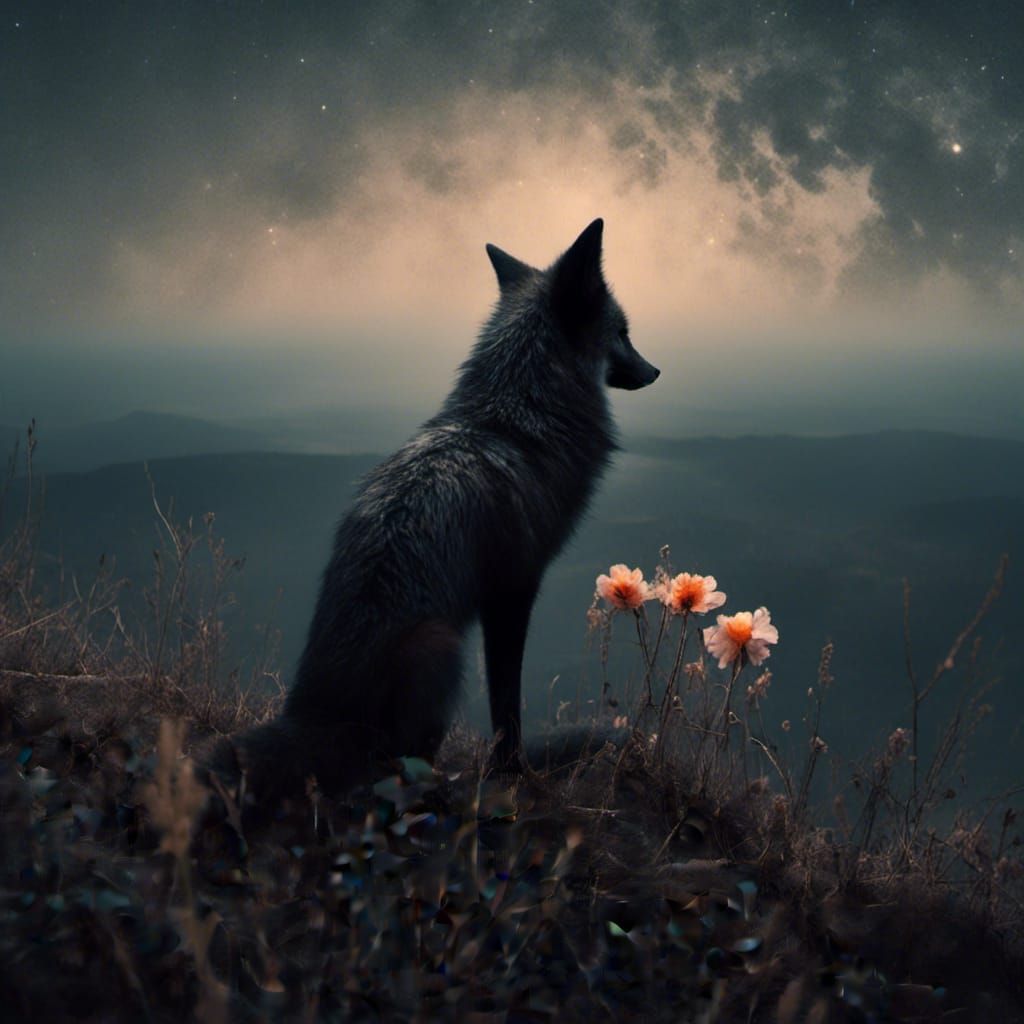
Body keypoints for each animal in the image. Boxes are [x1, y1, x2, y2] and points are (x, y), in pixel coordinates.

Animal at [205, 218, 659, 801]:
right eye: (622, 332)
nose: (655, 371)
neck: (514, 424)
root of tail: (319, 713)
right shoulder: (513, 588)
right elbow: (506, 702)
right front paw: (512, 769)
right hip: (442, 648)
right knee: (398, 762)